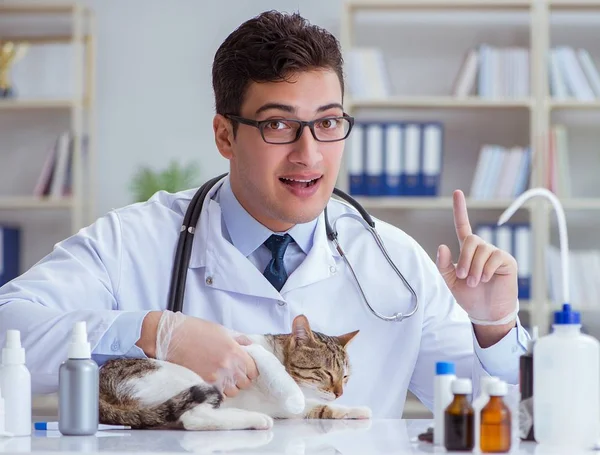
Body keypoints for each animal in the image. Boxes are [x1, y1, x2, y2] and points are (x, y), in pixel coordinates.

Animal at [98, 316, 370, 430]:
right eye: (326, 373)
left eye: (345, 376)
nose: (339, 392)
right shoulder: (243, 346)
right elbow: (274, 368)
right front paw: (294, 395)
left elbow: (319, 408)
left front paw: (355, 409)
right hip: (183, 378)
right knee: (193, 418)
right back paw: (256, 420)